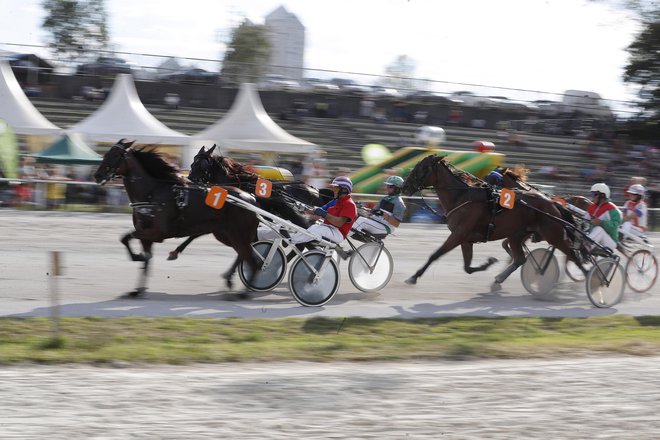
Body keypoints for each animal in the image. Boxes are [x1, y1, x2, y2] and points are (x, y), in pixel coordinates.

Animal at [94, 140, 260, 300]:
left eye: (115, 155)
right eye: (106, 153)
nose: (97, 175)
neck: (152, 193)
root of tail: (251, 199)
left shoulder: (157, 232)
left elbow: (126, 237)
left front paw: (136, 257)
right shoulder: (145, 234)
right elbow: (144, 258)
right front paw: (137, 290)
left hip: (237, 234)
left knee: (252, 260)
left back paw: (244, 292)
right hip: (225, 234)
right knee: (245, 254)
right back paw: (232, 281)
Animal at [400, 156, 584, 292]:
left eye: (422, 168)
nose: (404, 186)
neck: (461, 197)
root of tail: (553, 204)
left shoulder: (458, 234)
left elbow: (435, 254)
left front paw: (414, 277)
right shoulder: (465, 238)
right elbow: (467, 267)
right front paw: (488, 263)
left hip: (554, 235)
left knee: (573, 254)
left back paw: (587, 277)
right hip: (517, 235)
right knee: (520, 259)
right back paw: (499, 280)